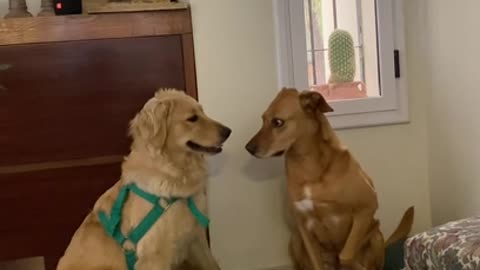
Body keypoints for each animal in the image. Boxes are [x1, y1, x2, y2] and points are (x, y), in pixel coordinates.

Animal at [57, 90, 230, 270]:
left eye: (203, 112)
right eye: (192, 118)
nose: (228, 131)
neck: (174, 173)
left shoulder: (196, 239)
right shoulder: (154, 255)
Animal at [246, 88, 414, 270]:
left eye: (277, 122)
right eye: (263, 119)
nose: (248, 148)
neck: (309, 166)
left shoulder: (367, 208)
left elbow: (346, 255)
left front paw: (355, 264)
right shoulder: (303, 227)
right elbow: (319, 262)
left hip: (376, 236)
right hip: (295, 240)